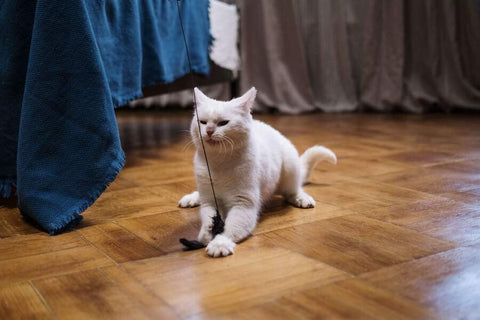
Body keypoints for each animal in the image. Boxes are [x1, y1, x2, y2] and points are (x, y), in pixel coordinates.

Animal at [178, 87, 336, 258]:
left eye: (223, 123)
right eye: (203, 122)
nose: (209, 131)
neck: (218, 162)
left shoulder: (244, 204)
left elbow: (231, 227)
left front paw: (220, 243)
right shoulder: (209, 200)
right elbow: (208, 217)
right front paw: (207, 234)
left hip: (290, 166)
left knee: (293, 190)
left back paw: (301, 198)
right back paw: (191, 198)